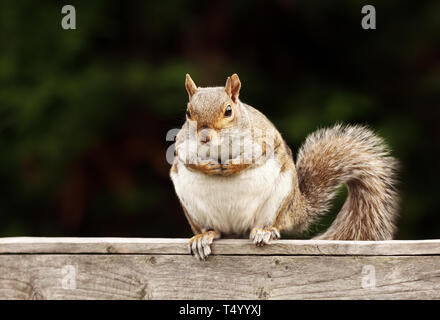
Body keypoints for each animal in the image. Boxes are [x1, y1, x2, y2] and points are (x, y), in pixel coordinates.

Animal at [168, 73, 398, 260]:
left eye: (228, 111)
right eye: (188, 113)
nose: (204, 138)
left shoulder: (262, 139)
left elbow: (255, 155)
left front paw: (233, 165)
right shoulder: (182, 144)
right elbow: (185, 158)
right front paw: (206, 166)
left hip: (280, 197)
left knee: (271, 224)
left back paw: (265, 231)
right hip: (192, 208)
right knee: (214, 230)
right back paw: (204, 236)